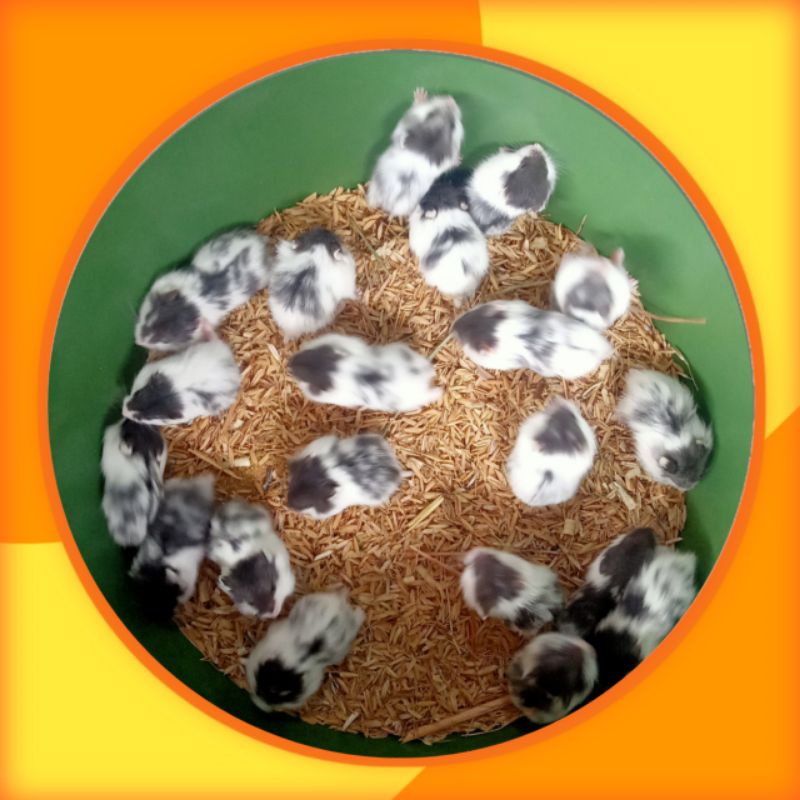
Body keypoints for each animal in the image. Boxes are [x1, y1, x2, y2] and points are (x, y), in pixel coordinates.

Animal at [367, 87, 464, 218]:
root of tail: (386, 203)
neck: (427, 146)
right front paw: (420, 92)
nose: (451, 99)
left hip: (374, 189)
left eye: (453, 124)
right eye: (432, 113)